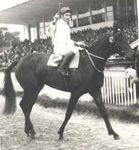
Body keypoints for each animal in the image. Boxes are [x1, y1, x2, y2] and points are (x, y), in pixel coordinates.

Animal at [2, 30, 134, 139]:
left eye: (125, 39)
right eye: (118, 41)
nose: (133, 54)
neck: (90, 63)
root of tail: (20, 60)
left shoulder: (95, 91)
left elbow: (104, 112)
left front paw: (113, 133)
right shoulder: (75, 93)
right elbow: (68, 113)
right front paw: (60, 133)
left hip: (35, 89)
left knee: (27, 106)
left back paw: (29, 131)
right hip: (31, 89)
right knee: (24, 105)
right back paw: (31, 131)